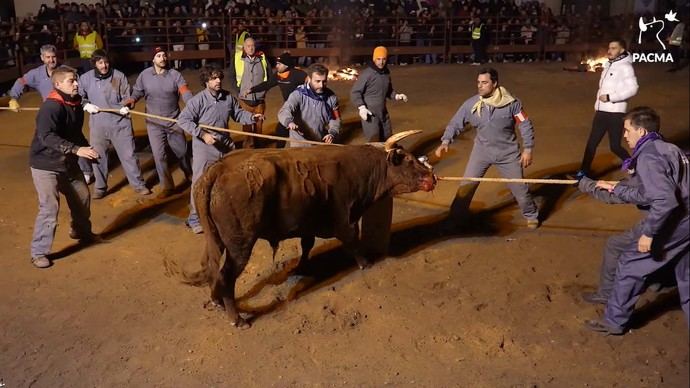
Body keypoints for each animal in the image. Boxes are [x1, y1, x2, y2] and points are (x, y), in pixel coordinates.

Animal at [180, 130, 432, 328]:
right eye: (409, 160)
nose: (432, 177)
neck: (359, 167)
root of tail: (218, 170)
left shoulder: (307, 223)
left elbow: (307, 244)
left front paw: (301, 267)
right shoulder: (344, 218)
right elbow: (352, 241)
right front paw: (365, 263)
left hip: (215, 239)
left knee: (210, 265)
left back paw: (216, 300)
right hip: (240, 244)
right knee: (226, 275)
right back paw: (237, 319)